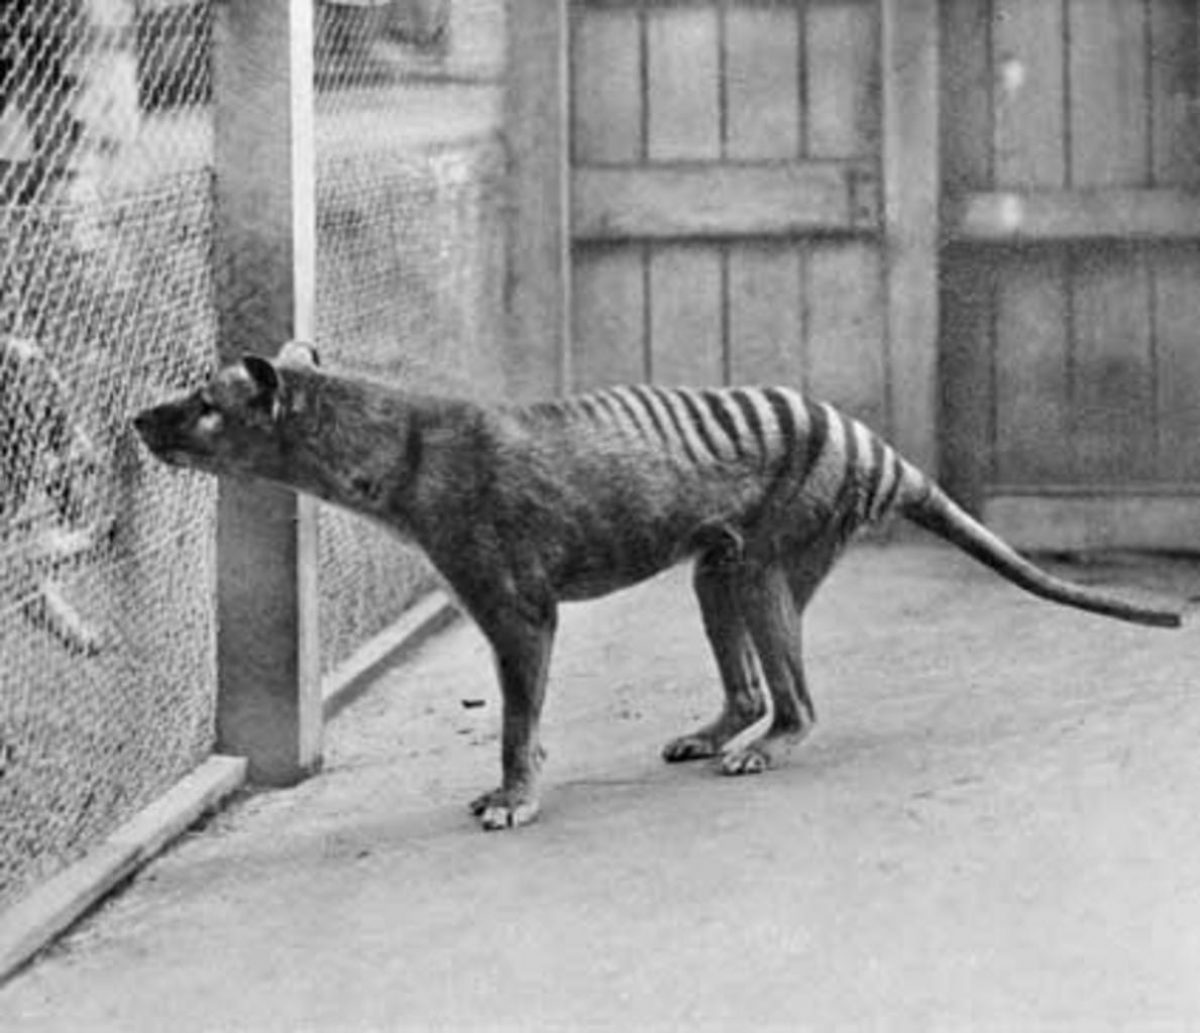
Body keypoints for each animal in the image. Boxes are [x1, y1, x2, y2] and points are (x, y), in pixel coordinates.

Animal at [133, 342, 1185, 830]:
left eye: (205, 403)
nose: (140, 418)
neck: (402, 449)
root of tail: (875, 448)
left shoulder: (516, 605)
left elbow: (516, 714)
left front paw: (514, 795)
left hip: (766, 563)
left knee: (797, 700)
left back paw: (764, 749)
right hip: (718, 566)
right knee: (750, 683)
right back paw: (717, 731)